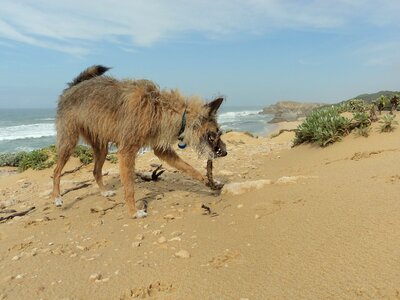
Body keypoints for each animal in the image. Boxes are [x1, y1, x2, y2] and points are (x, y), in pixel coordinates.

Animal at [51, 64, 227, 217]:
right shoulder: (127, 152)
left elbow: (188, 167)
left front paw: (209, 181)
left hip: (101, 147)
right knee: (56, 171)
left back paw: (104, 191)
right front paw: (133, 212)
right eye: (214, 133)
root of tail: (71, 88)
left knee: (95, 170)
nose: (225, 152)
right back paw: (57, 198)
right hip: (69, 142)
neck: (159, 108)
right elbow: (129, 186)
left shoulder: (162, 150)